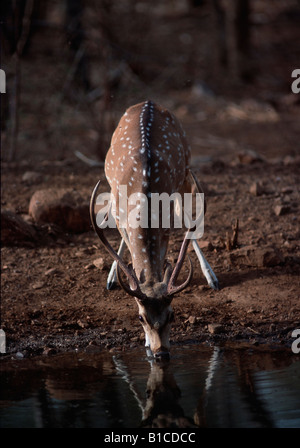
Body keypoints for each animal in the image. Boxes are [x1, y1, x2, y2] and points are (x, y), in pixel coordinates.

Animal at [89, 101, 218, 360]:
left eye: (172, 314)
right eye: (140, 317)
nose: (161, 353)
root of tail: (148, 102)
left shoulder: (165, 220)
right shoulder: (120, 211)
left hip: (185, 172)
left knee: (187, 216)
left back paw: (211, 277)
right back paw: (111, 278)